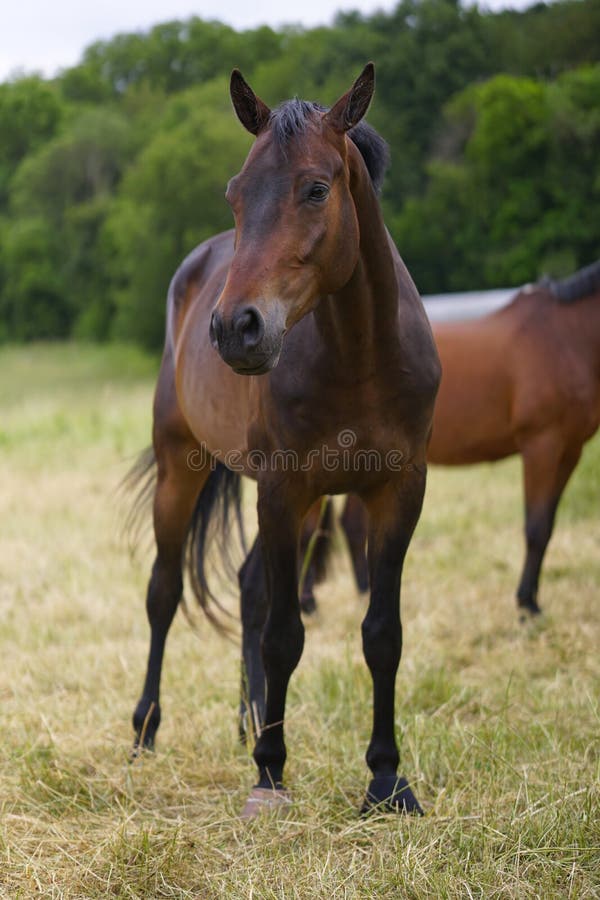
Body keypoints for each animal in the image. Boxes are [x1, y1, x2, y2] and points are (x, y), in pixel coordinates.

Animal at [130, 65, 440, 816]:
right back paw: (147, 731)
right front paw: (270, 775)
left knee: (245, 587)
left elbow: (382, 635)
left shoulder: (398, 490)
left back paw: (248, 719)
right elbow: (282, 636)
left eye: (316, 188)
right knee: (163, 592)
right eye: (236, 193)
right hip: (184, 469)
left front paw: (387, 781)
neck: (360, 356)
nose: (235, 329)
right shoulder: (282, 489)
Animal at [304, 264, 600, 620]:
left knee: (352, 525)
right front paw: (526, 605)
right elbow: (536, 527)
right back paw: (310, 604)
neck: (565, 336)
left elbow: (548, 527)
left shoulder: (570, 450)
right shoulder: (542, 445)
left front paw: (532, 601)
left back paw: (364, 594)